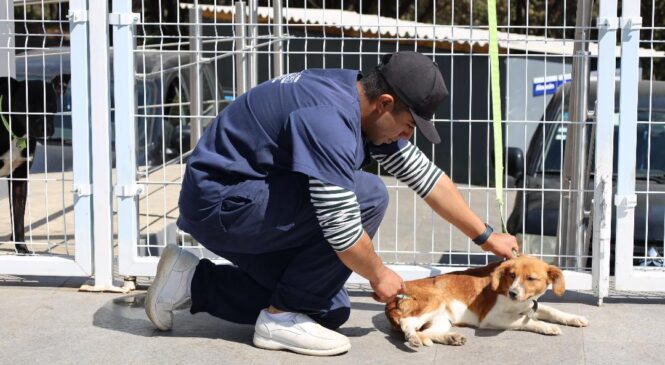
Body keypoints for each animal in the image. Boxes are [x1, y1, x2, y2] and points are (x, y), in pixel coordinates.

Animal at [384, 255, 588, 346]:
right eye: (512, 275)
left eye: (530, 278)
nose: (513, 293)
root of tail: (391, 300)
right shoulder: (491, 318)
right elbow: (525, 320)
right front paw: (547, 327)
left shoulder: (530, 304)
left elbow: (552, 311)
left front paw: (573, 318)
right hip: (434, 300)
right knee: (407, 323)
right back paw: (413, 338)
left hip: (442, 319)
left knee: (428, 332)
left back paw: (450, 337)